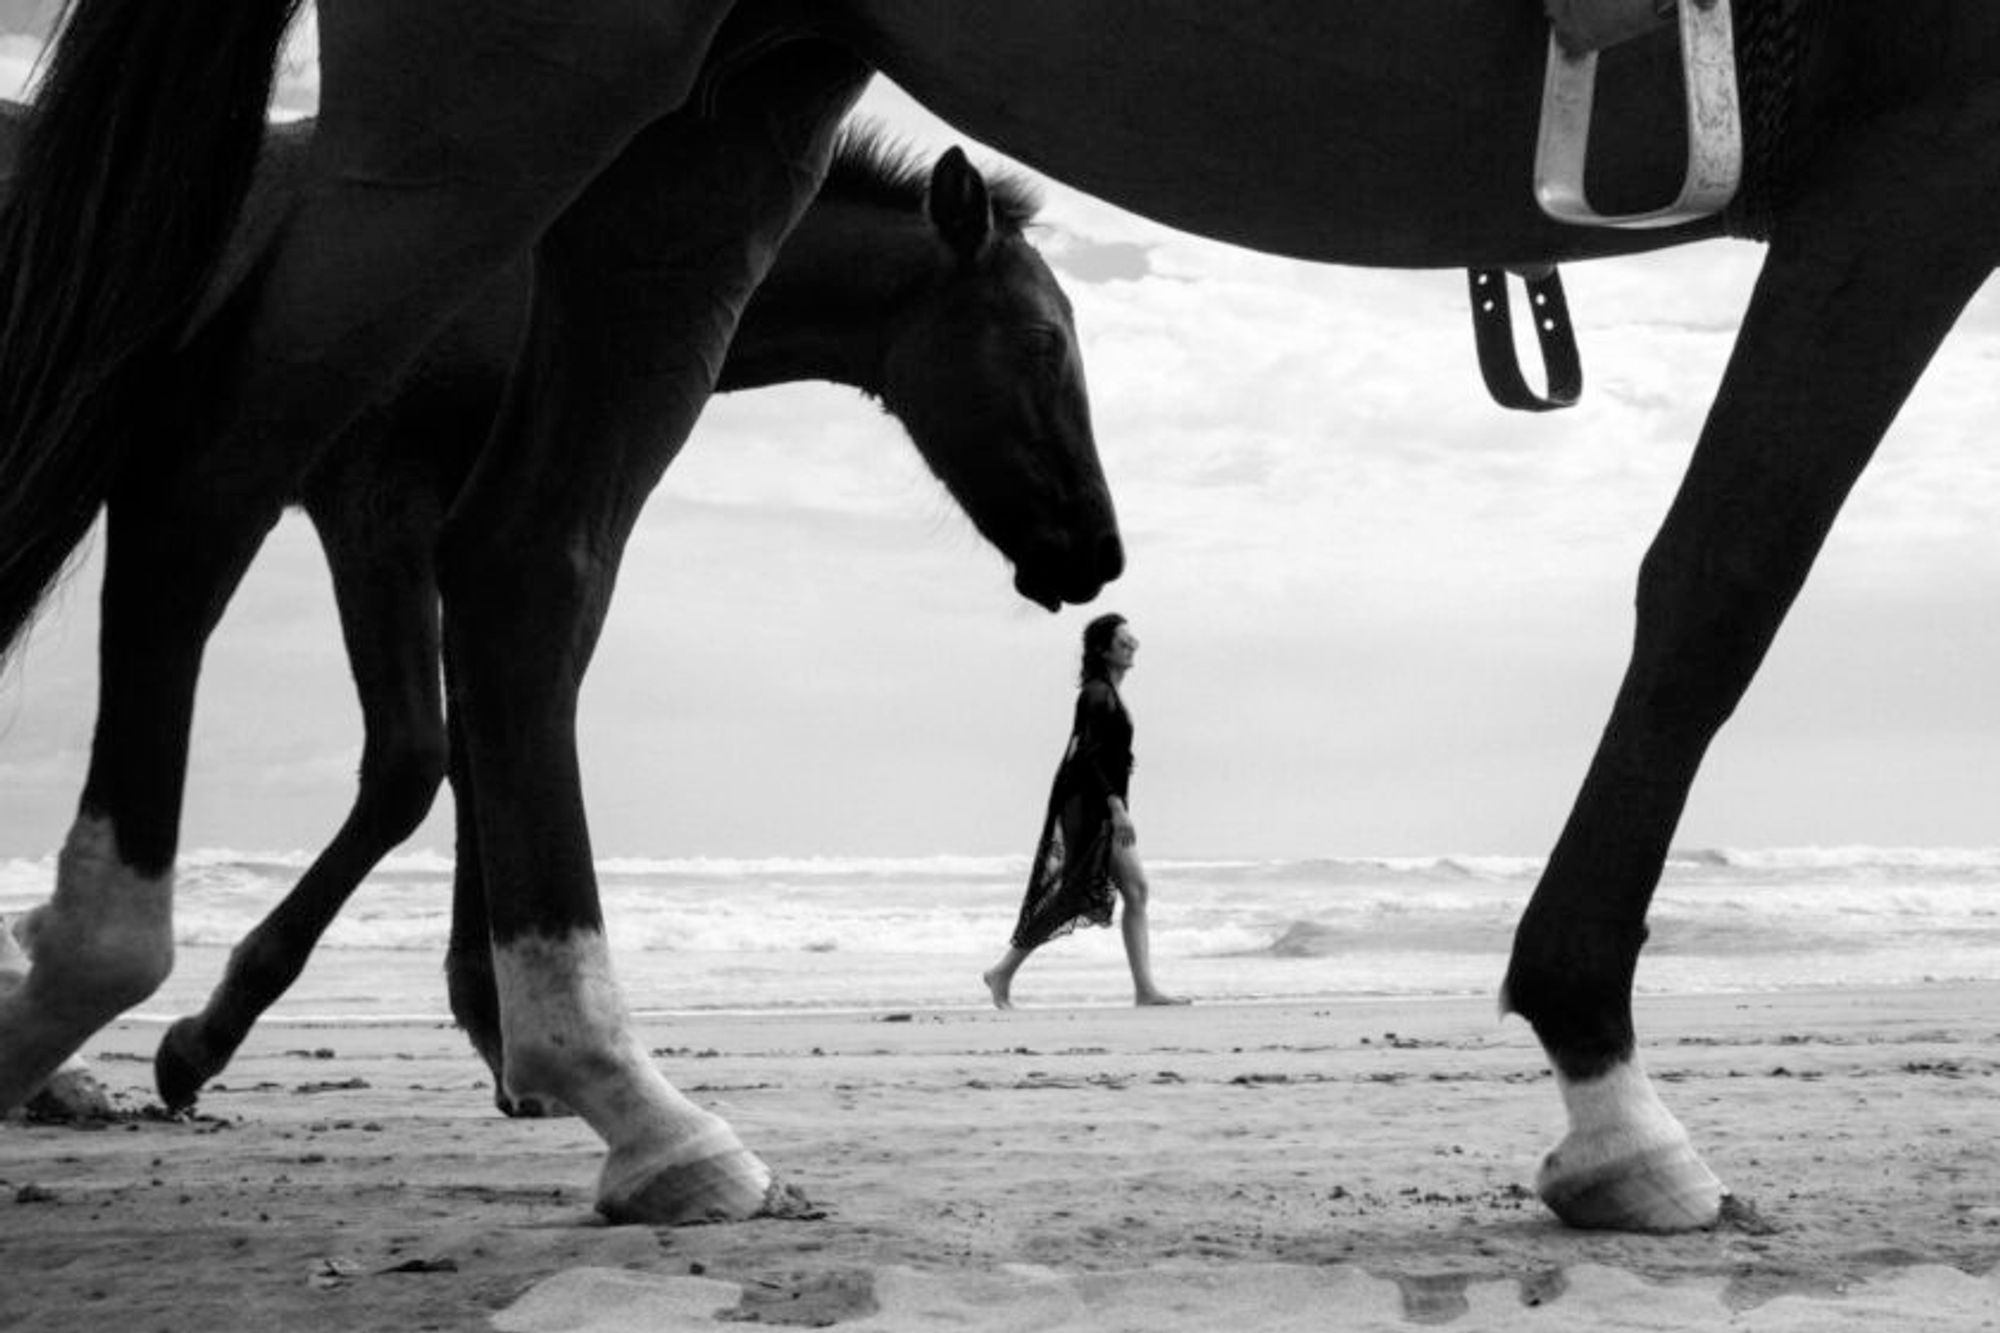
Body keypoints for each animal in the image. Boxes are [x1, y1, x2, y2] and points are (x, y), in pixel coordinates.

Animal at [0, 2, 1992, 1224]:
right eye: (1043, 344)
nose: (1099, 552)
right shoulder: (1924, 153)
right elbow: (1725, 577)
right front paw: (1609, 1090)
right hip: (495, 110)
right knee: (201, 472)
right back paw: (103, 973)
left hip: (714, 116)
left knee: (530, 569)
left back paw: (624, 1094)